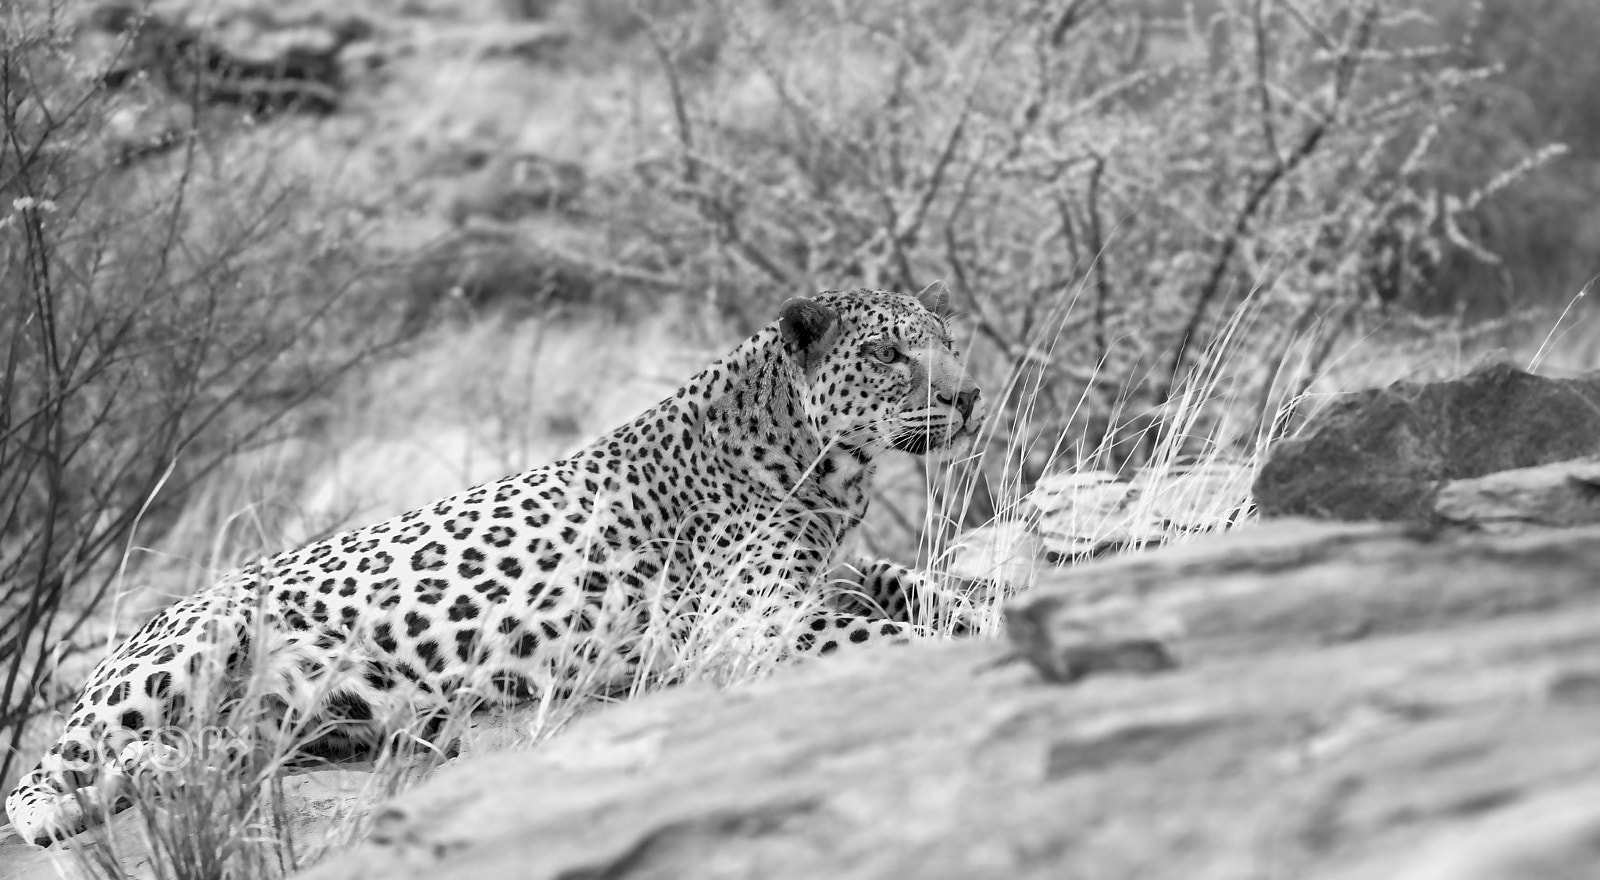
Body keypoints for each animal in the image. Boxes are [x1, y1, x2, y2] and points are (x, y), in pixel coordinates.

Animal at [5, 287, 984, 846]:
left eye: (949, 340)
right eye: (891, 355)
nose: (971, 394)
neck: (828, 471)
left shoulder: (827, 574)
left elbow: (909, 582)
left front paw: (981, 606)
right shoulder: (753, 620)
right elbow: (877, 635)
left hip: (302, 715)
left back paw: (174, 768)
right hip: (194, 639)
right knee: (40, 775)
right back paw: (76, 806)